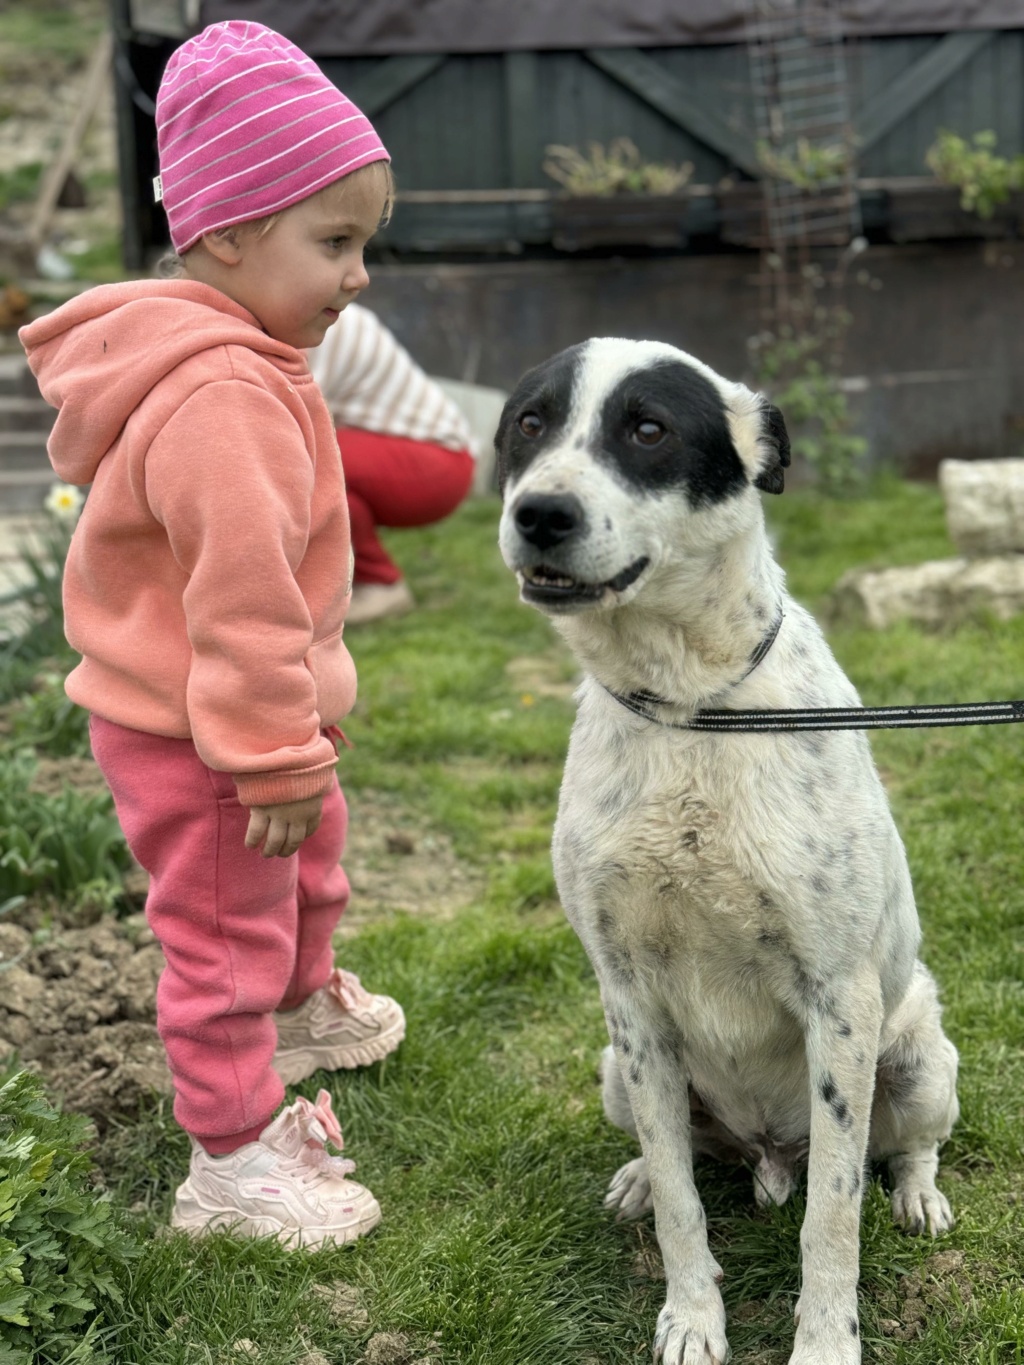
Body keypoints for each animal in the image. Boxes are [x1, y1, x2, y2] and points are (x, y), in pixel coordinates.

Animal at [496, 333, 961, 1365]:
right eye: (529, 424)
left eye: (649, 429)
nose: (538, 513)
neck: (691, 708)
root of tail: (771, 1153)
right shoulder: (628, 998)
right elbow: (681, 1199)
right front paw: (691, 1317)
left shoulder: (840, 1003)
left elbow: (833, 1217)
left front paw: (826, 1341)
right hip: (616, 1069)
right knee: (683, 1152)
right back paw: (637, 1176)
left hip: (918, 1058)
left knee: (898, 1149)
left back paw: (918, 1194)